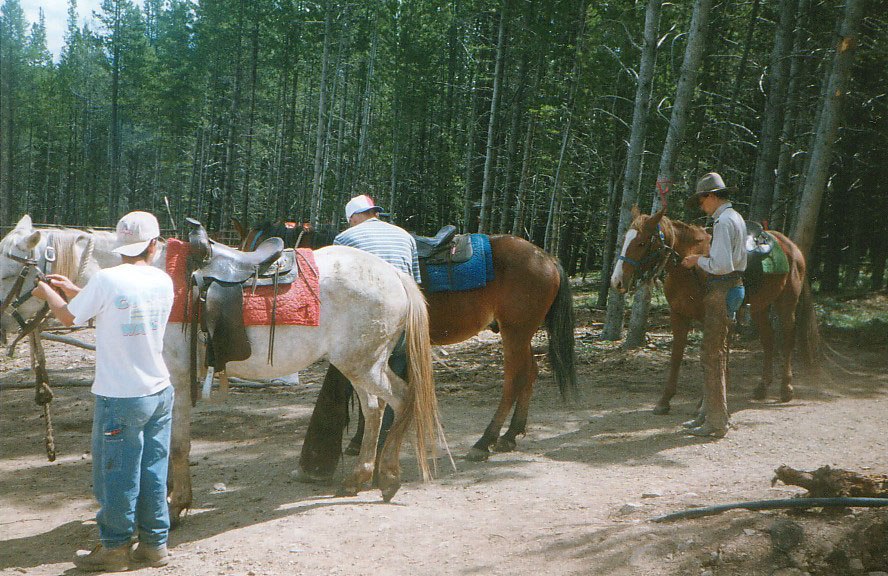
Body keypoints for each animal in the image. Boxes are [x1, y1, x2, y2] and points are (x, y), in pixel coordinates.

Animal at [1, 215, 443, 521]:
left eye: (8, 271)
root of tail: (395, 274)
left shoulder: (177, 380)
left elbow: (177, 444)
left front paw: (176, 505)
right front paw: (169, 499)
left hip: (363, 364)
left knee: (402, 399)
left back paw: (388, 477)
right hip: (359, 365)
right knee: (375, 409)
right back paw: (359, 478)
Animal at [238, 220, 578, 473]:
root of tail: (547, 258)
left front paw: (359, 440)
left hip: (514, 332)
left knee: (514, 379)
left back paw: (485, 441)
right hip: (522, 333)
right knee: (531, 372)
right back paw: (510, 434)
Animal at [610, 205, 819, 415]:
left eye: (642, 243)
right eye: (624, 239)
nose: (616, 281)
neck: (689, 270)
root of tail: (792, 247)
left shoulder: (710, 318)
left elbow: (711, 356)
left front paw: (704, 404)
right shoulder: (678, 315)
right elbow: (677, 356)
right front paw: (664, 400)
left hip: (787, 302)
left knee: (787, 339)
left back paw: (786, 388)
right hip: (760, 306)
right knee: (768, 340)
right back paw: (762, 387)